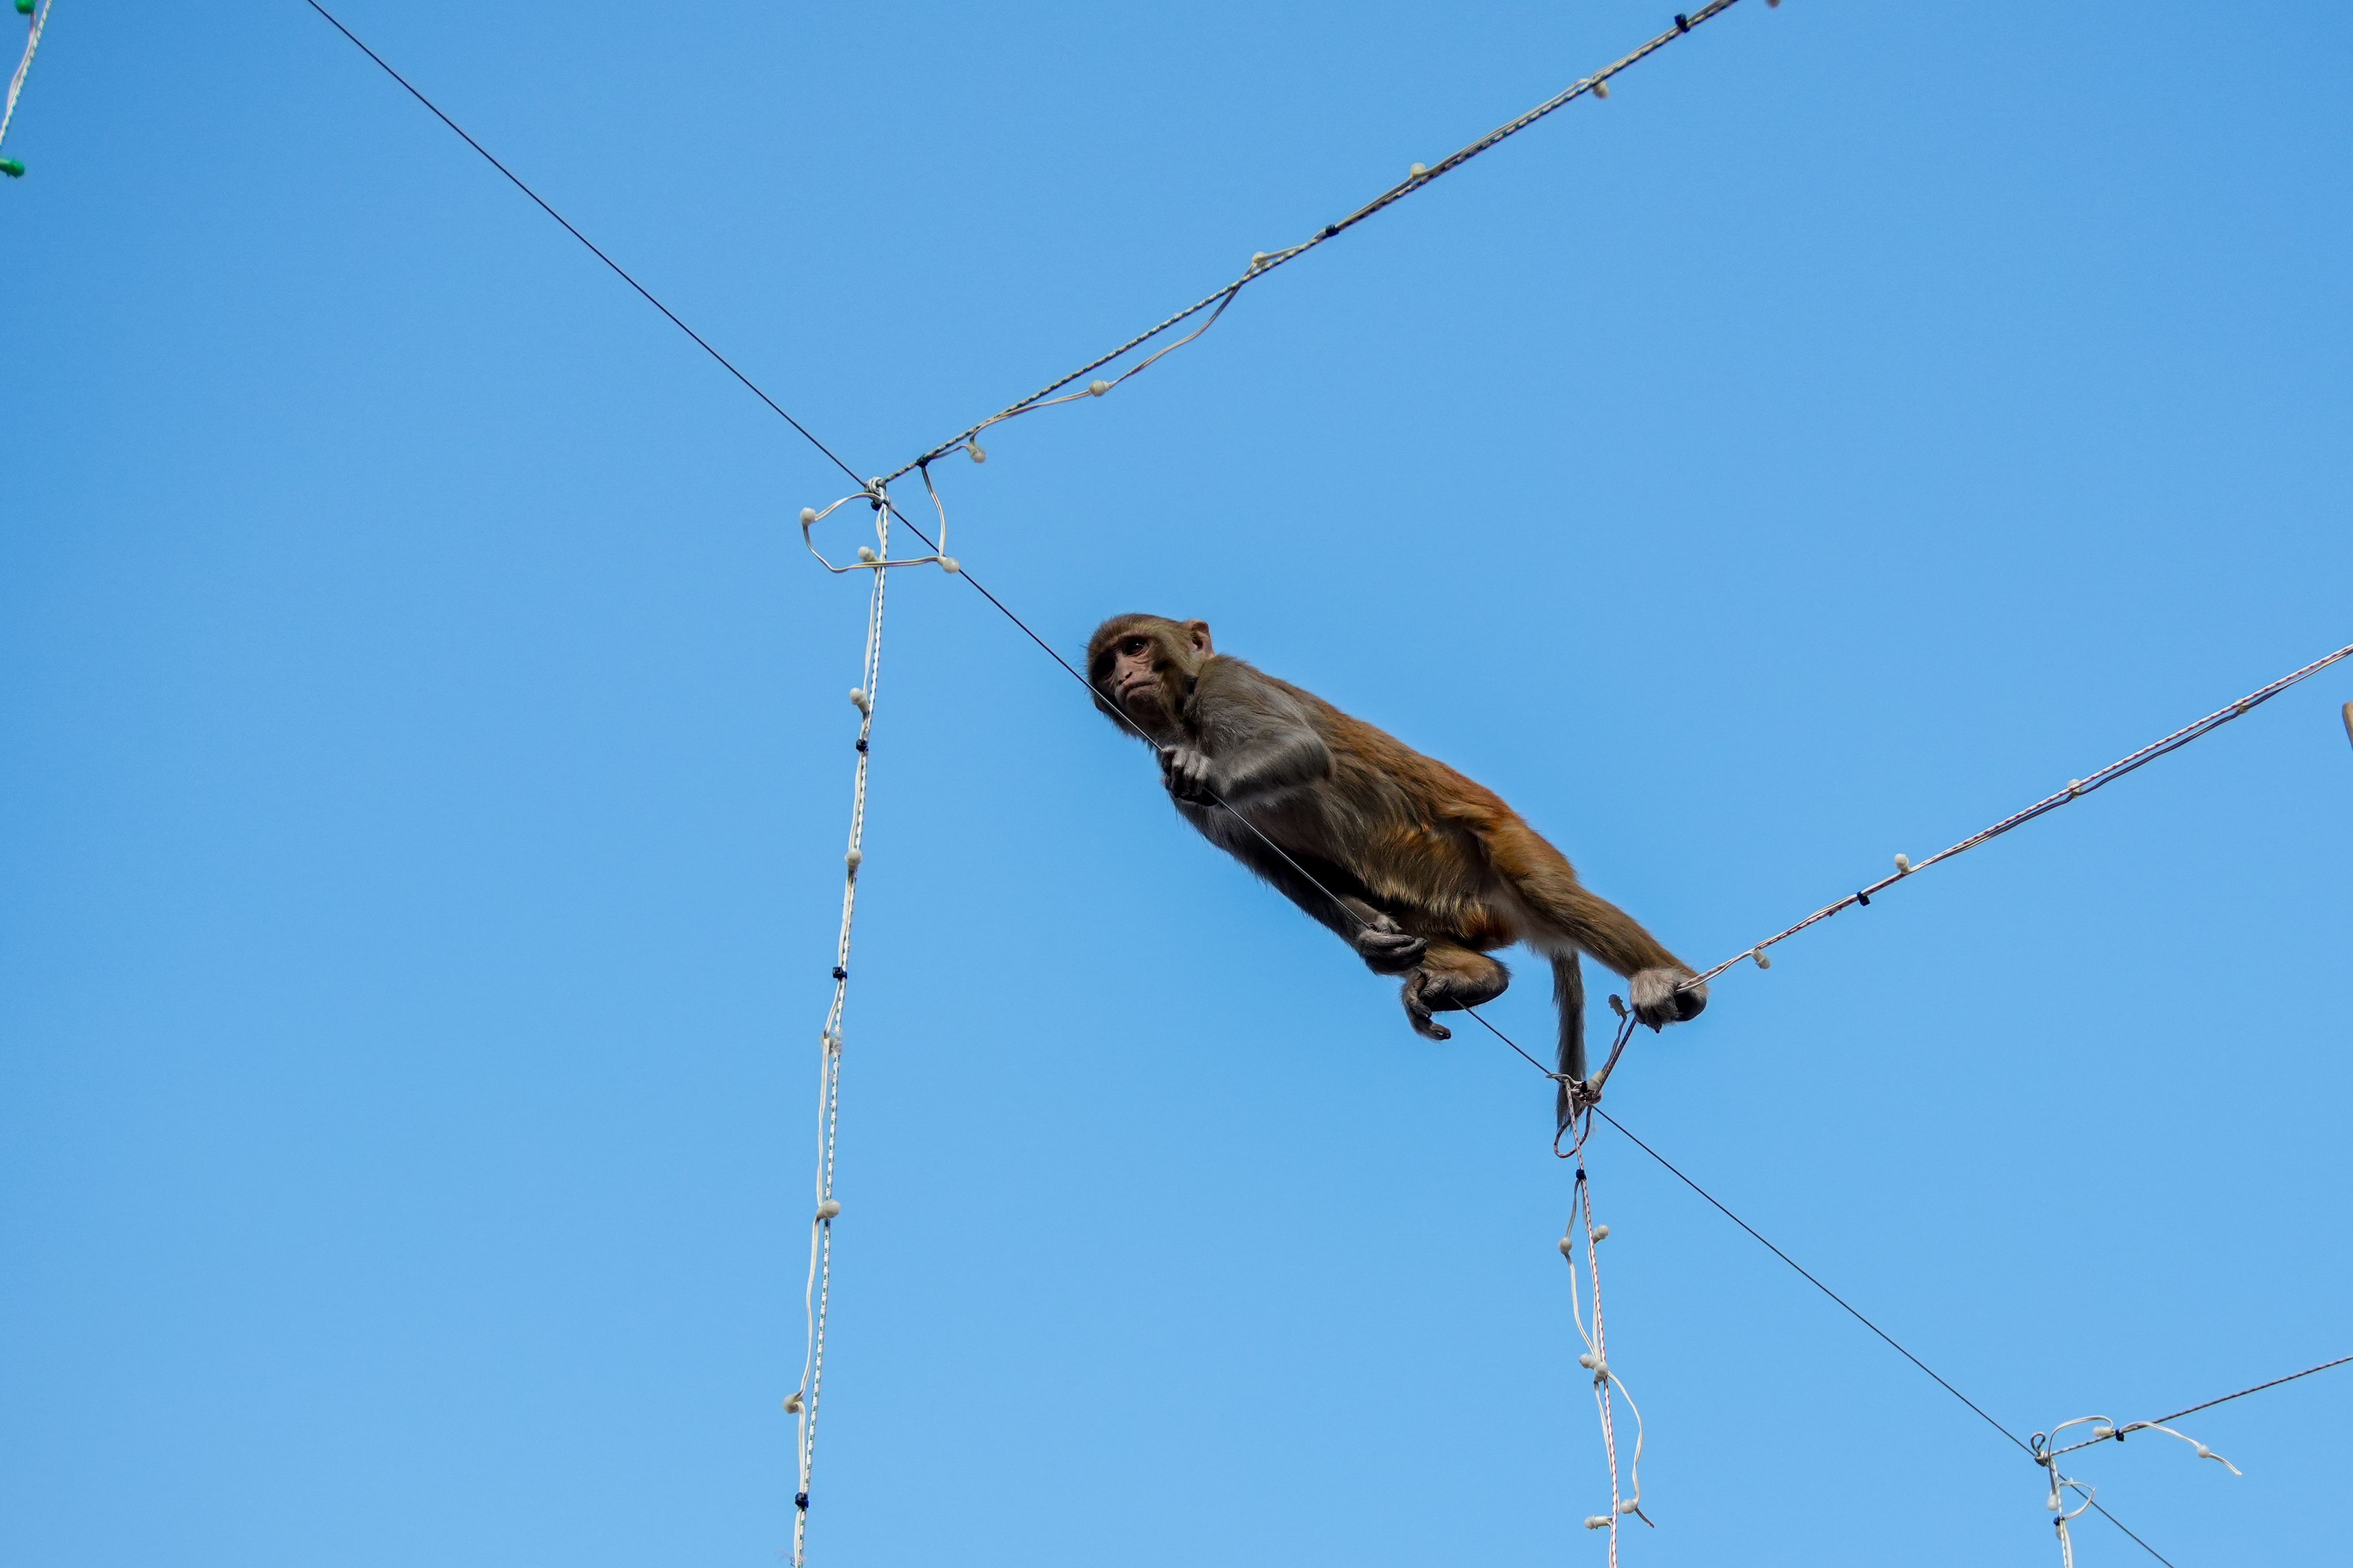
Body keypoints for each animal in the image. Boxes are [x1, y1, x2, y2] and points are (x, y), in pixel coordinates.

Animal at [1087, 614, 1705, 1115]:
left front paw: (1211, 770)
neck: (1185, 719)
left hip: (1508, 848)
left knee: (1542, 888)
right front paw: (1373, 945)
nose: (1122, 676)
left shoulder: (1227, 686)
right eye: (1108, 663)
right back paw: (1474, 978)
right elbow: (1289, 872)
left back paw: (1669, 982)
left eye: (1136, 647)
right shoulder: (1181, 793)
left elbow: (1301, 749)